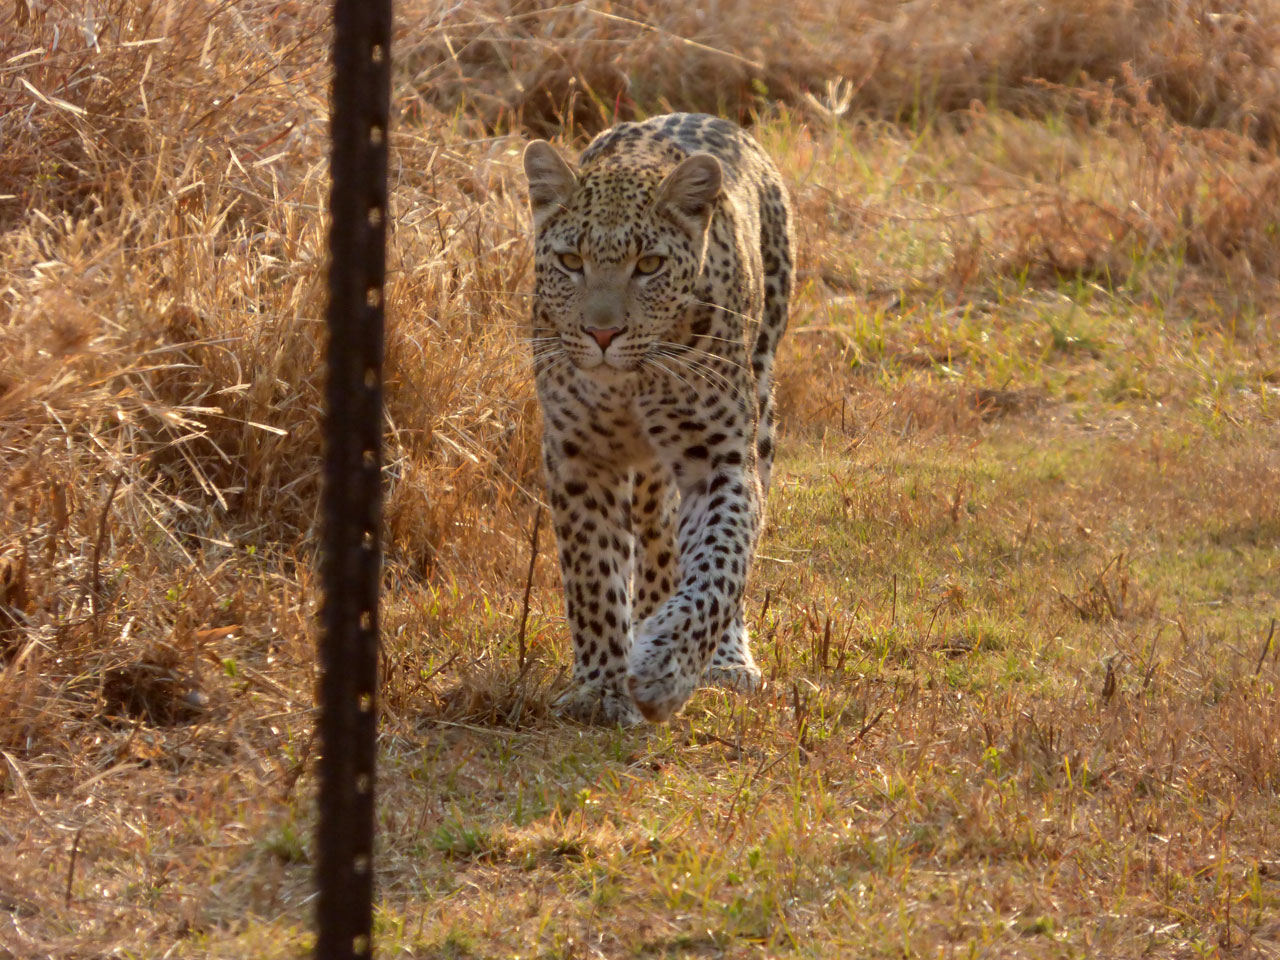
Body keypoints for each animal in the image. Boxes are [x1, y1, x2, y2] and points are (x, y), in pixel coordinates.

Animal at [522, 113, 793, 725]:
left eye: (648, 266)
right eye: (570, 262)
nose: (602, 333)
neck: (632, 384)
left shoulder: (719, 459)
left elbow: (720, 564)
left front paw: (664, 667)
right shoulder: (579, 457)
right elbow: (593, 573)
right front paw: (601, 687)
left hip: (762, 396)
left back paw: (725, 659)